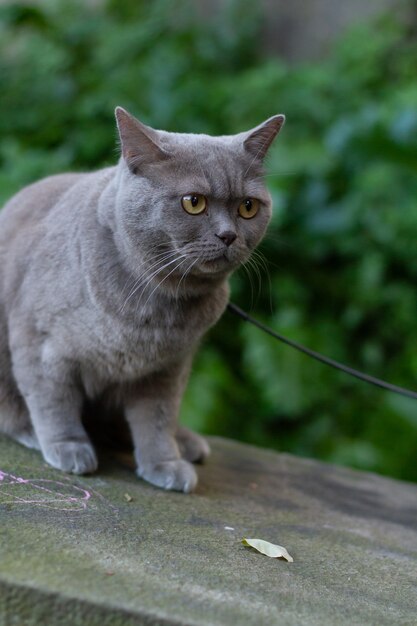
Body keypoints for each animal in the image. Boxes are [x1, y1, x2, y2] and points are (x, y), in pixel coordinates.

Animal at [0, 107, 282, 490]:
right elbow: (52, 399)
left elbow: (157, 418)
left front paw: (165, 462)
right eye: (194, 202)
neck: (156, 307)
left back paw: (185, 442)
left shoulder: (168, 368)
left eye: (249, 207)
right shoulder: (40, 341)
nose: (228, 235)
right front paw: (68, 446)